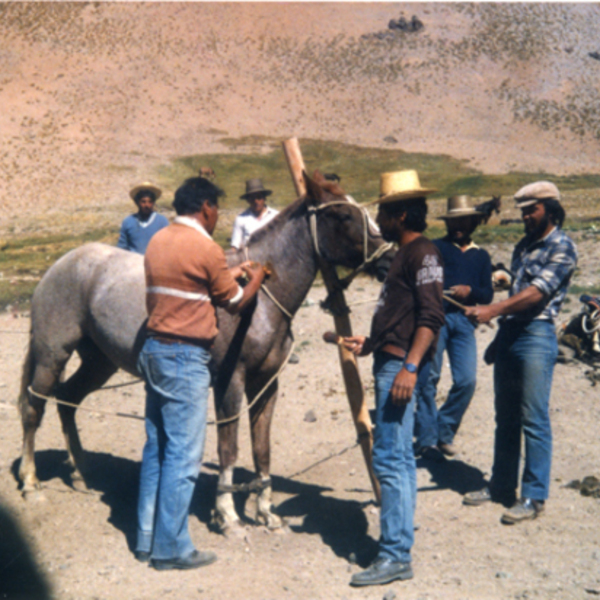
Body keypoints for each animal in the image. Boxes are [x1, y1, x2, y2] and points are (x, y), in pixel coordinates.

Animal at [18, 172, 392, 528]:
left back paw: (80, 474)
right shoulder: (230, 383)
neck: (257, 302)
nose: (388, 258)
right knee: (35, 409)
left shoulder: (266, 384)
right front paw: (227, 515)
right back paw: (31, 482)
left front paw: (266, 513)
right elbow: (229, 448)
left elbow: (262, 448)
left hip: (99, 363)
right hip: (52, 357)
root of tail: (61, 266)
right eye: (343, 215)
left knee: (68, 399)